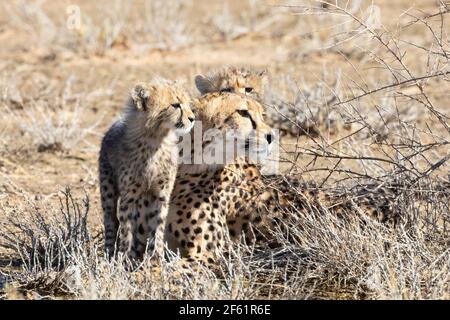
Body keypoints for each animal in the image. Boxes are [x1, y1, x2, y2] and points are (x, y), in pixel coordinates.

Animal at [99, 79, 194, 262]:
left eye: (188, 104)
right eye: (175, 105)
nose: (192, 118)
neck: (156, 138)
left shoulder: (161, 195)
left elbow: (157, 228)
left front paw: (155, 259)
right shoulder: (129, 197)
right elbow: (126, 230)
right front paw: (124, 259)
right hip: (108, 190)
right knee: (111, 221)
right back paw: (109, 255)